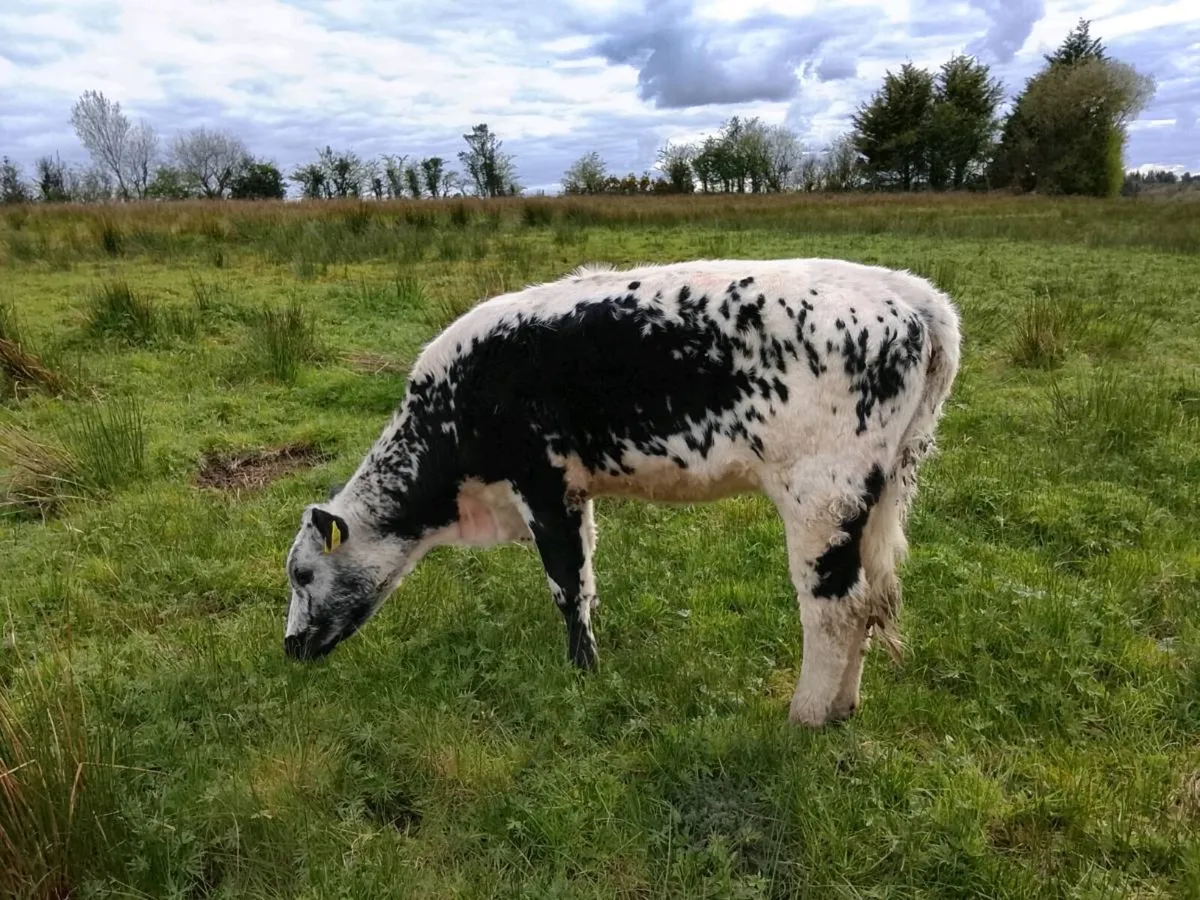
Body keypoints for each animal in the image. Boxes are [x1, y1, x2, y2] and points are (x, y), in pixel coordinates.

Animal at [282, 258, 961, 727]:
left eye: (302, 575)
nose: (289, 647)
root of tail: (907, 294)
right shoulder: (575, 492)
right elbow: (586, 581)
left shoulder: (541, 483)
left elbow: (566, 585)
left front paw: (581, 673)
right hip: (875, 496)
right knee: (870, 599)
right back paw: (843, 707)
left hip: (821, 496)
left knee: (835, 607)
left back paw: (806, 715)